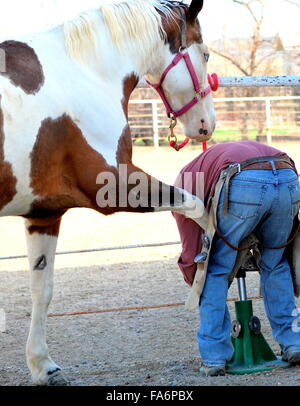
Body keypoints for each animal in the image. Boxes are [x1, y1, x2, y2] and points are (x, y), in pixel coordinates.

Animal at [0, 0, 216, 386]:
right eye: (204, 53)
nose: (207, 124)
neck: (84, 72)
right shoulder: (117, 186)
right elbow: (198, 208)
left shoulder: (44, 214)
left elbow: (42, 289)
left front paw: (43, 366)